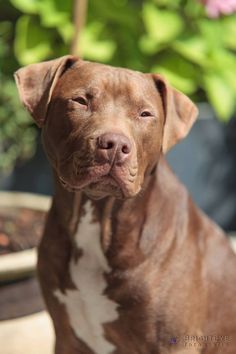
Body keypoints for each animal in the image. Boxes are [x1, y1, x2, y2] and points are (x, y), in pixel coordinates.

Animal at [14, 56, 236, 354]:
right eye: (81, 101)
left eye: (145, 114)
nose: (115, 144)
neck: (99, 219)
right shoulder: (66, 337)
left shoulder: (175, 343)